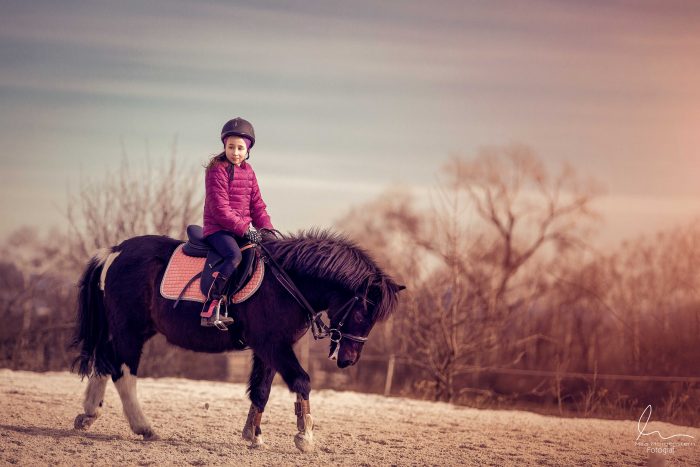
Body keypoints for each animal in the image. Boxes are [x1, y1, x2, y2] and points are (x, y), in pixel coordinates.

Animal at [72, 232, 404, 452]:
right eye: (362, 312)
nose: (348, 359)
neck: (286, 283)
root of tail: (116, 251)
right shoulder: (273, 345)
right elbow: (302, 381)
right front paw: (305, 436)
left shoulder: (268, 348)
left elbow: (261, 391)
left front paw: (254, 435)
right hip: (130, 330)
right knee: (123, 373)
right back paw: (143, 426)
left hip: (132, 330)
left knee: (104, 359)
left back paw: (89, 414)